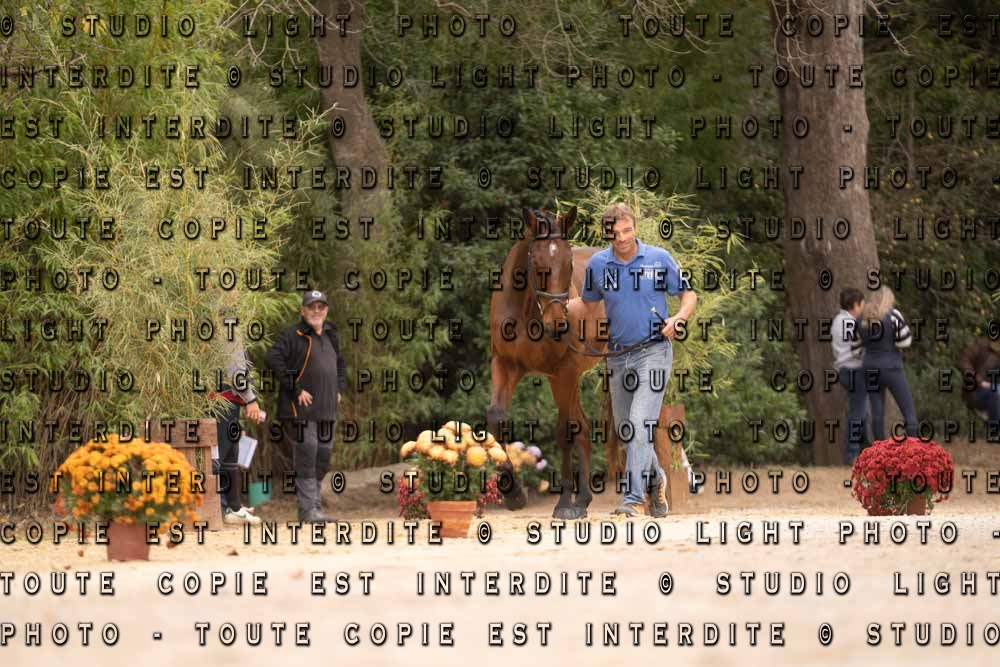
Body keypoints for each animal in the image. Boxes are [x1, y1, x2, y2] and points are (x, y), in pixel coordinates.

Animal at [487, 206, 609, 520]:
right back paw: (584, 500)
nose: (558, 325)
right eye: (537, 262)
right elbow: (496, 417)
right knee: (584, 428)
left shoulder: (563, 371)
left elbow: (564, 432)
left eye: (568, 263)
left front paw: (564, 502)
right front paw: (513, 493)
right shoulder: (505, 365)